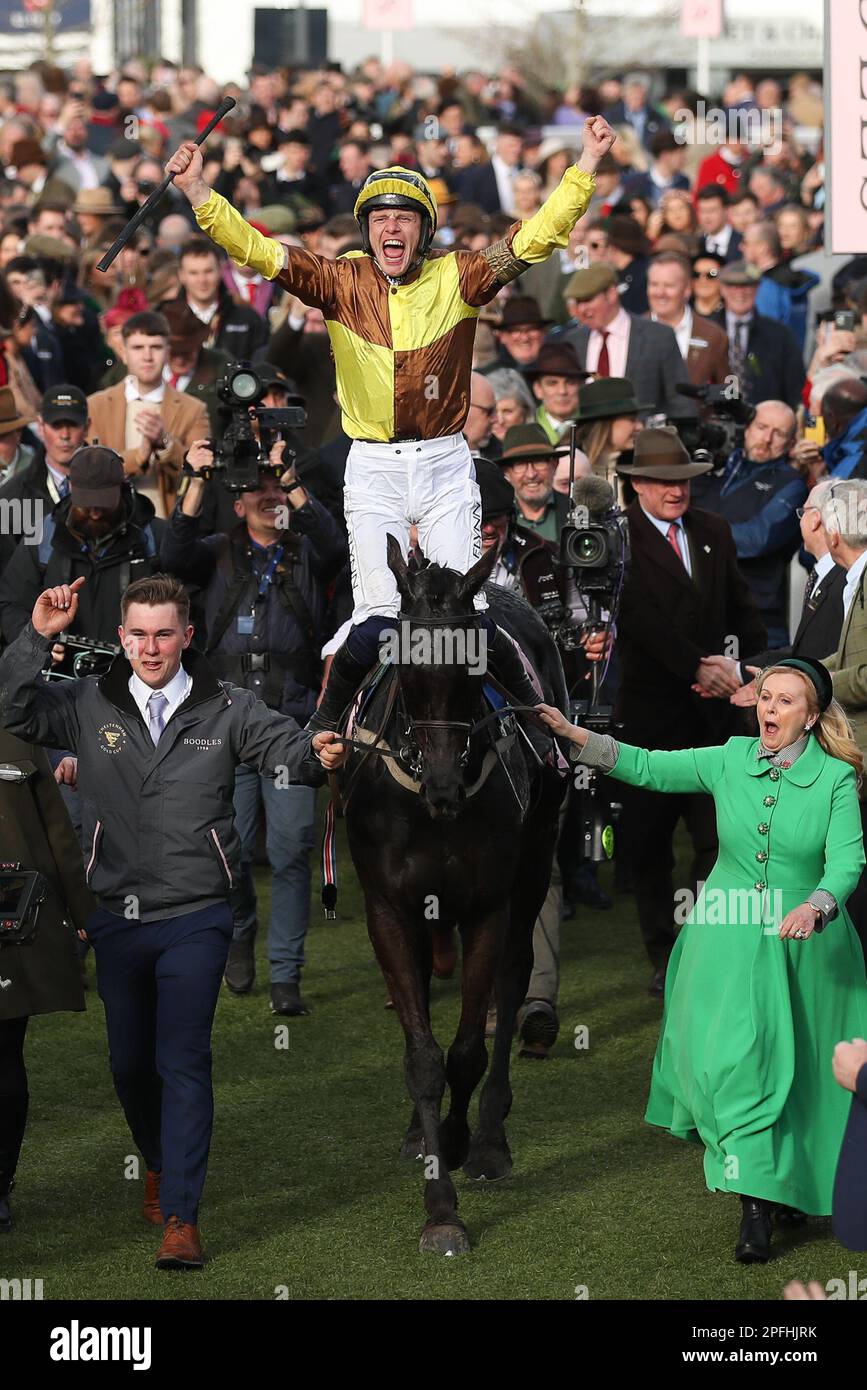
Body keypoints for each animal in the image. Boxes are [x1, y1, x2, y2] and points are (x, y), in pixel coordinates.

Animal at [339, 536, 569, 1256]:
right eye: (406, 661)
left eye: (474, 663)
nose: (442, 781)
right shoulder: (387, 907)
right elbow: (423, 1057)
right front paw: (438, 1201)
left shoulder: (490, 904)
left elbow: (467, 1049)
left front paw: (468, 1146)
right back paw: (424, 1133)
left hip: (537, 857)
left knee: (513, 981)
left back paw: (489, 1135)